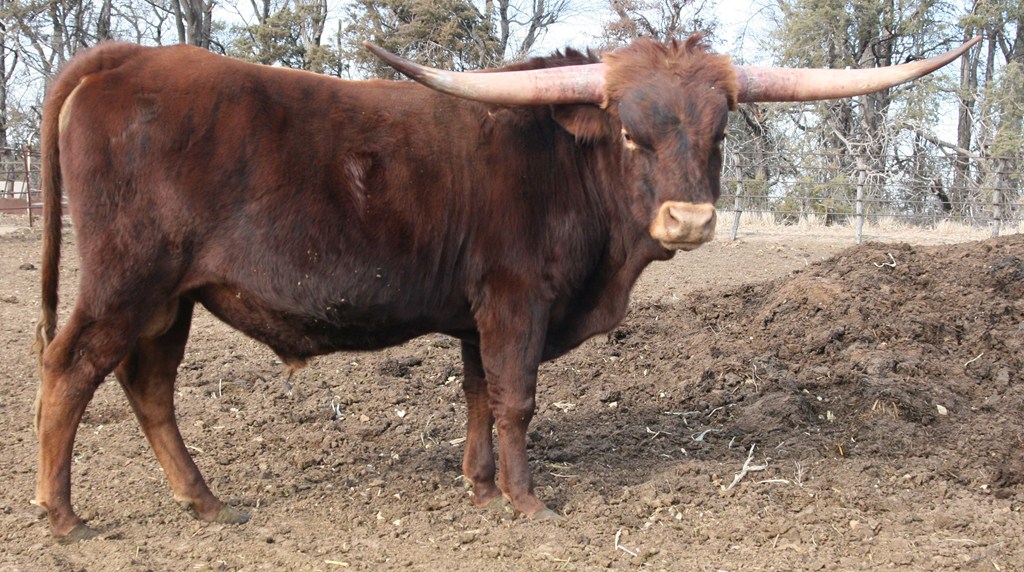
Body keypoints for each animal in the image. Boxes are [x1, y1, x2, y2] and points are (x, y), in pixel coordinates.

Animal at [32, 34, 977, 541]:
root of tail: (130, 59)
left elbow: (480, 395)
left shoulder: (478, 314)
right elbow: (517, 399)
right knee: (68, 373)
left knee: (148, 388)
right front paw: (526, 501)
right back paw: (62, 514)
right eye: (629, 133)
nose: (688, 220)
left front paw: (479, 486)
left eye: (719, 131)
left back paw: (205, 503)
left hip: (169, 300)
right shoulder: (519, 299)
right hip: (127, 281)